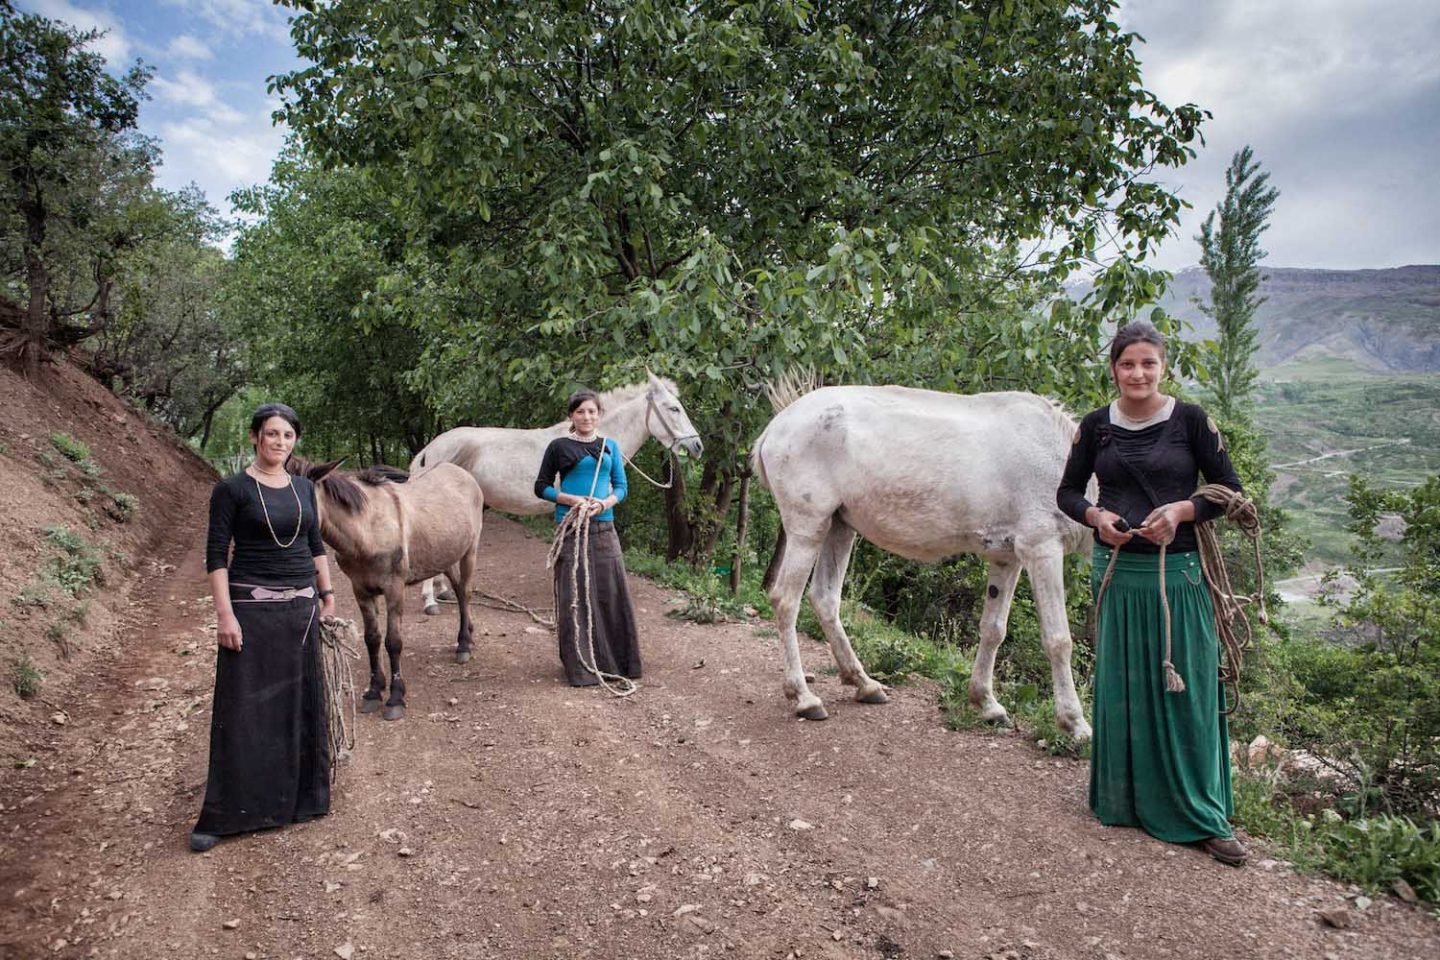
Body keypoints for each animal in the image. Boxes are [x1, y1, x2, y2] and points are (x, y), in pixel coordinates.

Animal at [292, 460, 483, 719]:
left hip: (470, 551)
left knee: (465, 592)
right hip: (446, 555)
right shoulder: (361, 590)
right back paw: (468, 635)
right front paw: (374, 692)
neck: (367, 530)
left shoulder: (394, 589)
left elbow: (393, 642)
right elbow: (371, 639)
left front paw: (395, 698)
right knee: (459, 590)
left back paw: (463, 645)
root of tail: (459, 470)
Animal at [754, 382, 1088, 736]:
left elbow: (993, 629)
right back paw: (804, 697)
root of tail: (775, 427)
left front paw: (987, 703)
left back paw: (865, 684)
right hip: (808, 527)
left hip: (840, 527)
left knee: (824, 599)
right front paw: (1075, 722)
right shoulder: (1042, 548)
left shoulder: (1006, 558)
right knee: (786, 600)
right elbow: (1058, 639)